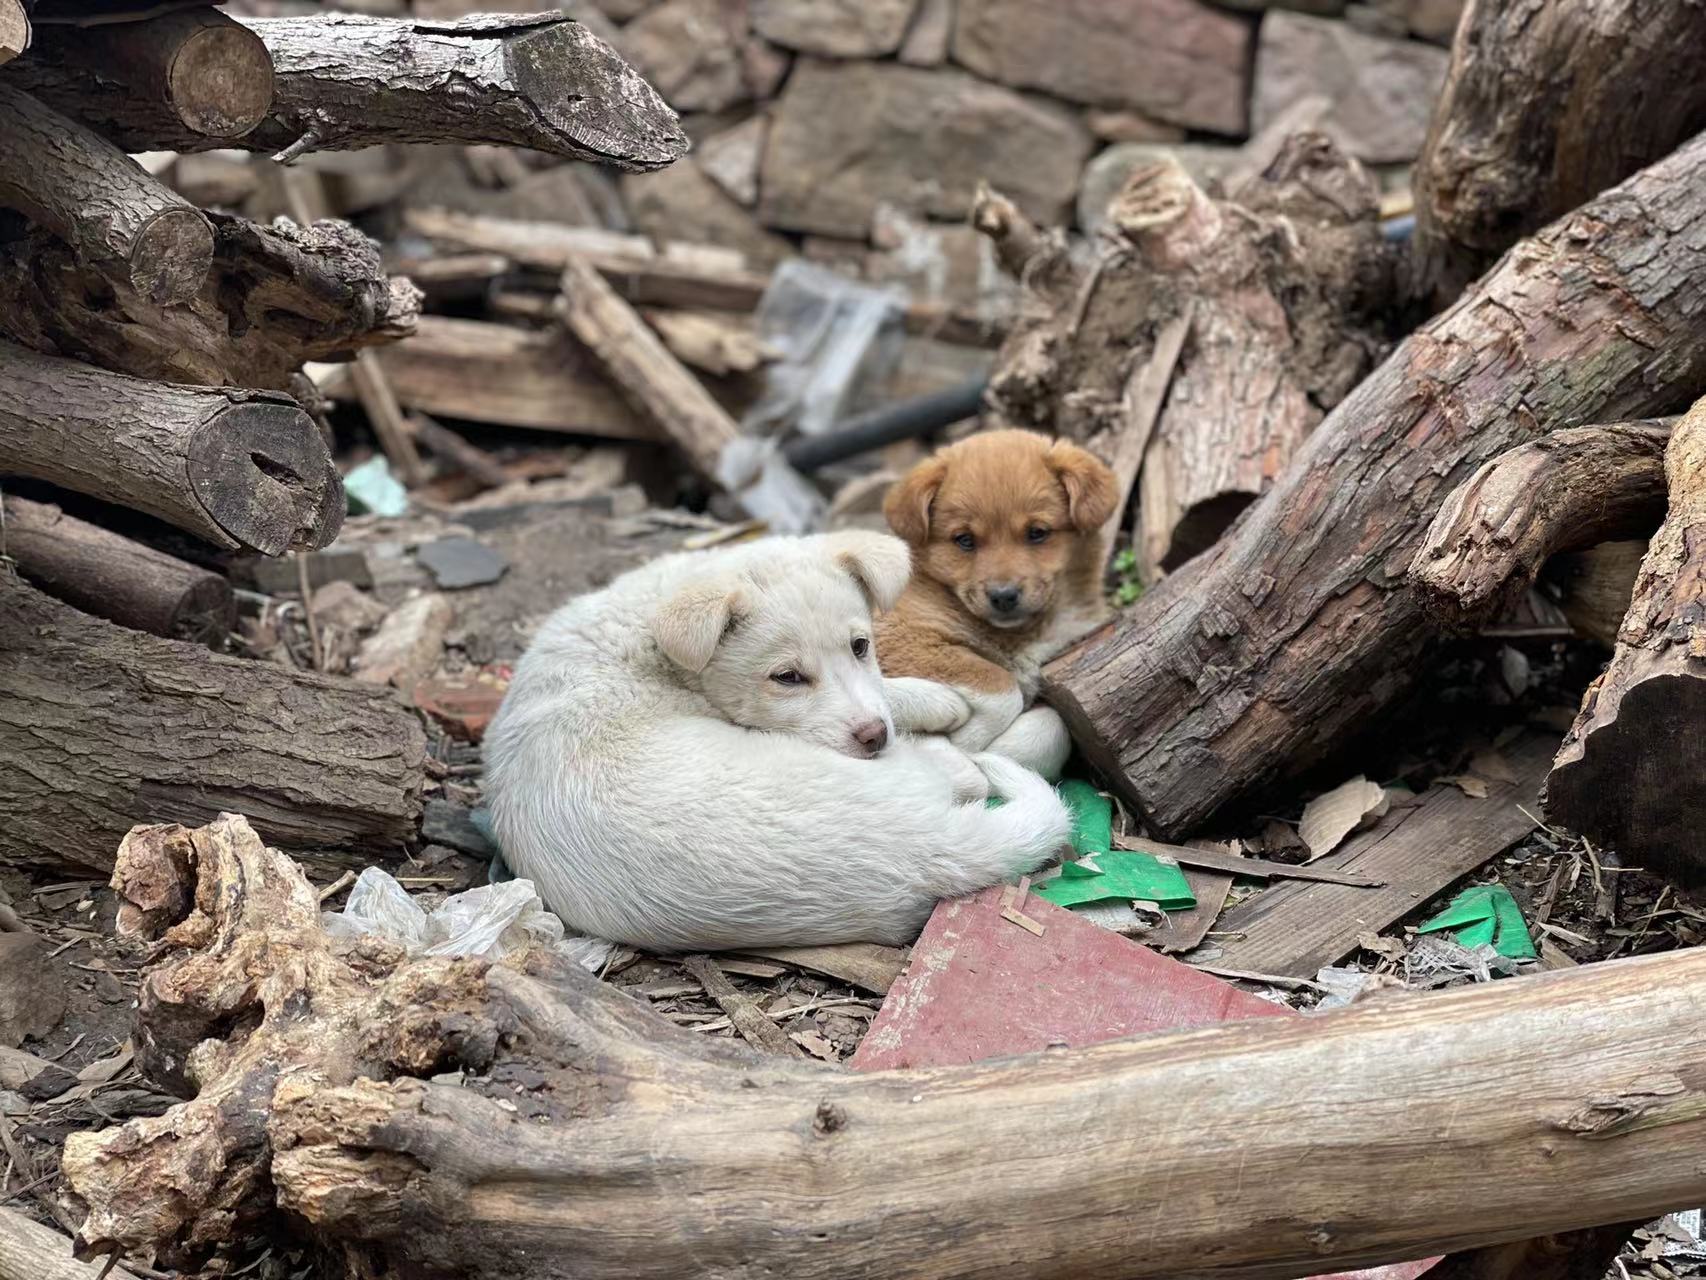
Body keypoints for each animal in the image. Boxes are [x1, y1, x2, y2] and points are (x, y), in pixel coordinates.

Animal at [482, 530, 1071, 951]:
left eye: (861, 645)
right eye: (786, 677)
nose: (874, 736)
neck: (650, 637)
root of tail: (931, 847)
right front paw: (935, 700)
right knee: (966, 775)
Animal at [876, 429, 1118, 778]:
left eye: (1037, 532)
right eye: (964, 540)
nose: (1003, 596)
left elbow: (1054, 725)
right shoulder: (902, 636)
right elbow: (999, 681)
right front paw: (967, 740)